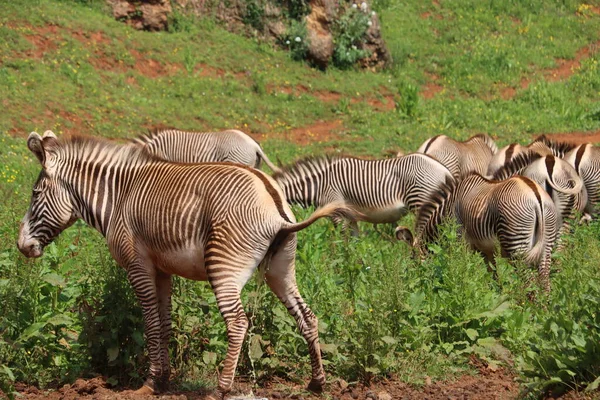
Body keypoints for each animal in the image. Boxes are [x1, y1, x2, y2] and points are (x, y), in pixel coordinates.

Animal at [272, 153, 454, 231]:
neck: (319, 185)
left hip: (420, 200)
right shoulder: (350, 215)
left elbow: (341, 240)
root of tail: (444, 170)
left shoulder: (336, 212)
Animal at [398, 173, 556, 292]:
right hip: (546, 244)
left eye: (413, 260)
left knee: (530, 283)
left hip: (517, 247)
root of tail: (535, 194)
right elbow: (494, 274)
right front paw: (497, 296)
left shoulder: (462, 243)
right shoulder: (487, 251)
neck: (446, 211)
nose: (417, 287)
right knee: (545, 282)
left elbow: (463, 269)